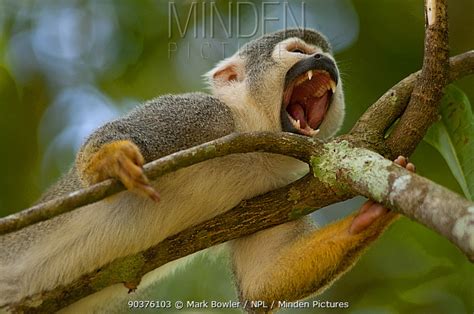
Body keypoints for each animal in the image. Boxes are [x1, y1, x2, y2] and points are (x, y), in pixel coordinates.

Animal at [0, 28, 414, 312]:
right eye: (299, 52)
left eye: (327, 59)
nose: (324, 64)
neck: (249, 132)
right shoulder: (201, 113)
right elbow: (116, 140)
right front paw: (111, 160)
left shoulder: (281, 186)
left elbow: (264, 278)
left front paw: (372, 215)